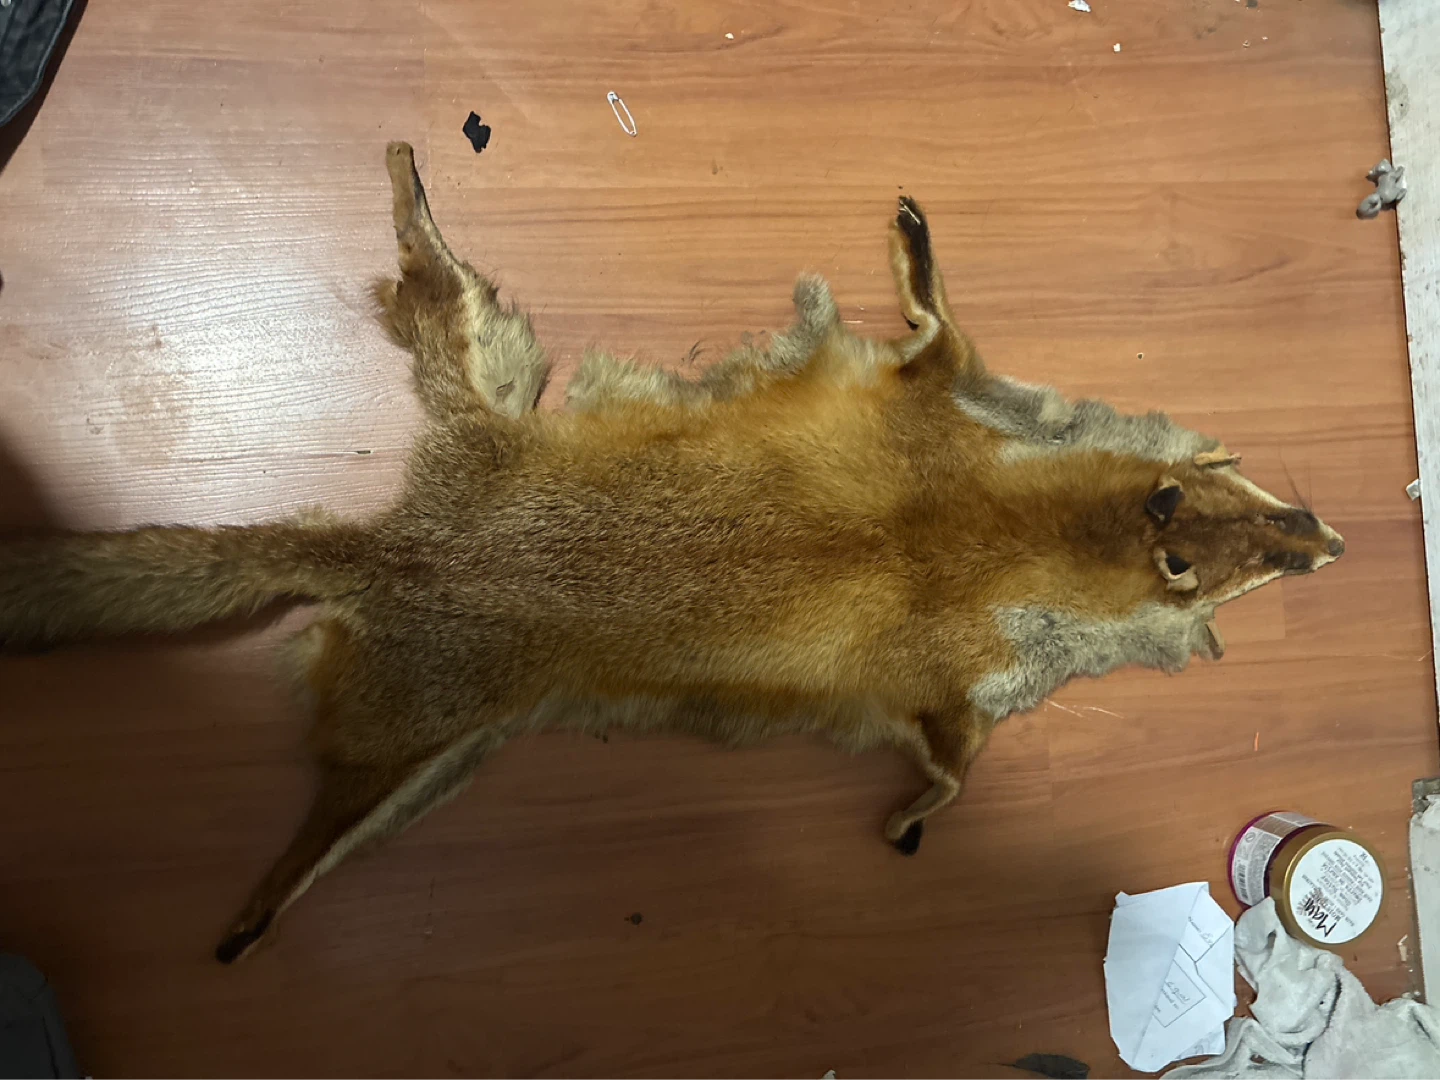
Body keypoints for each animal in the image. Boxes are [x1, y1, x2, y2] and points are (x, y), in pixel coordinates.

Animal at [0, 143, 1344, 964]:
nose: (1330, 537)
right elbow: (952, 776)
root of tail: (393, 546)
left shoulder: (938, 463)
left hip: (475, 478)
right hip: (410, 760)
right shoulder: (945, 571)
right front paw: (913, 822)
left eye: (1241, 498)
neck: (995, 535)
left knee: (430, 290)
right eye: (1232, 547)